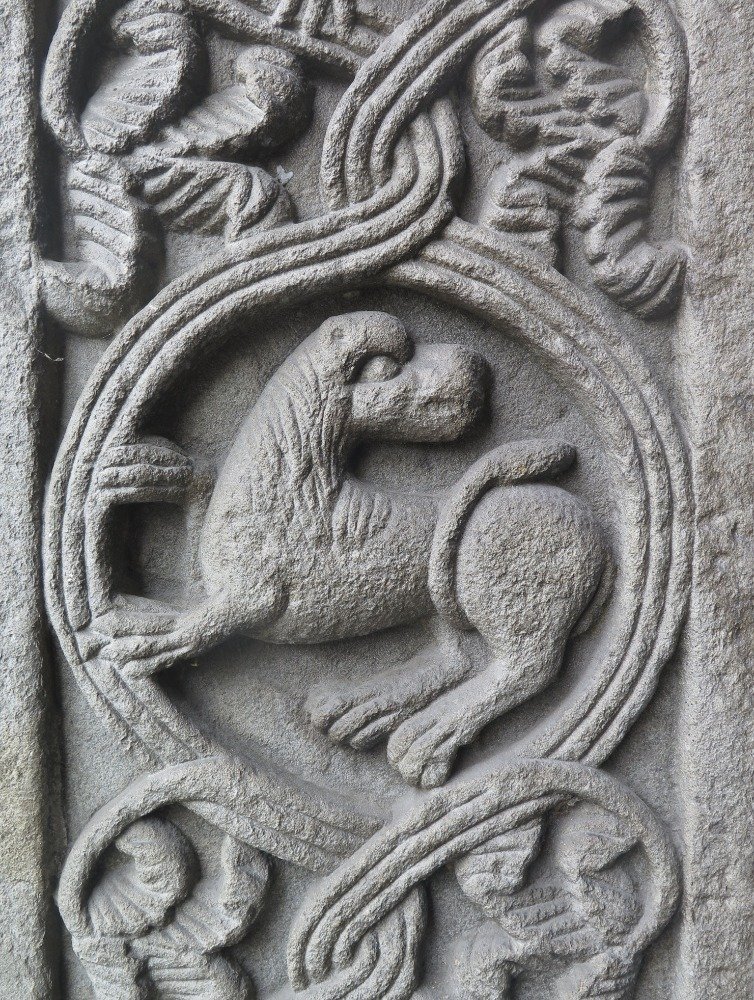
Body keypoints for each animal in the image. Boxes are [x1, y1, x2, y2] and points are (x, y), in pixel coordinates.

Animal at [90, 311, 609, 788]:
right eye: (387, 368)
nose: (474, 365)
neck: (293, 493)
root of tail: (587, 520)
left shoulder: (254, 596)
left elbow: (206, 622)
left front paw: (152, 638)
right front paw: (151, 471)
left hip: (505, 589)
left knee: (525, 668)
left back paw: (429, 735)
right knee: (460, 658)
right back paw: (367, 707)